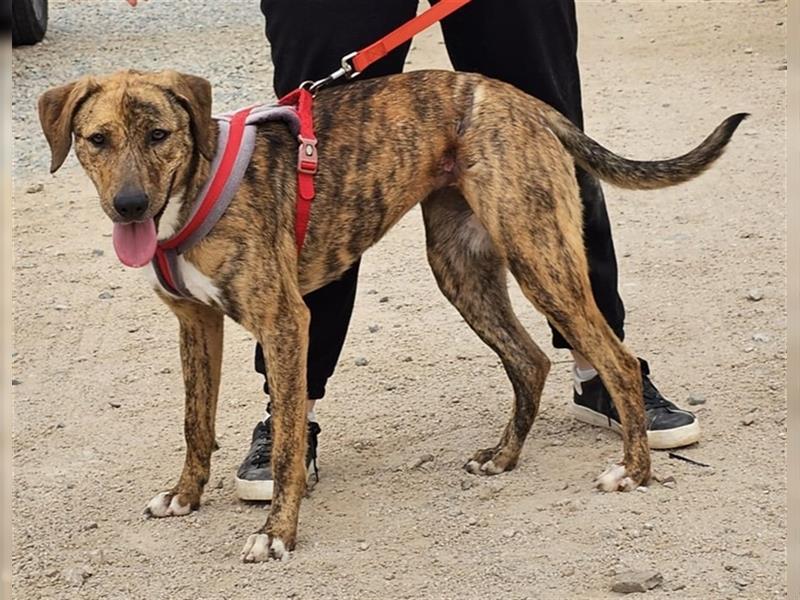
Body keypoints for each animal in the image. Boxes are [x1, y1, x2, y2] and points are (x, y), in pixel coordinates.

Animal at [37, 70, 748, 564]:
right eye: (97, 140)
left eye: (159, 136)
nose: (130, 206)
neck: (195, 188)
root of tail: (520, 99)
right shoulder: (195, 326)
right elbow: (195, 424)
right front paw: (185, 496)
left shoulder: (285, 322)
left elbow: (289, 442)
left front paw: (277, 534)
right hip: (462, 268)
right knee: (530, 359)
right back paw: (503, 458)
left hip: (539, 255)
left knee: (616, 360)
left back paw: (634, 470)